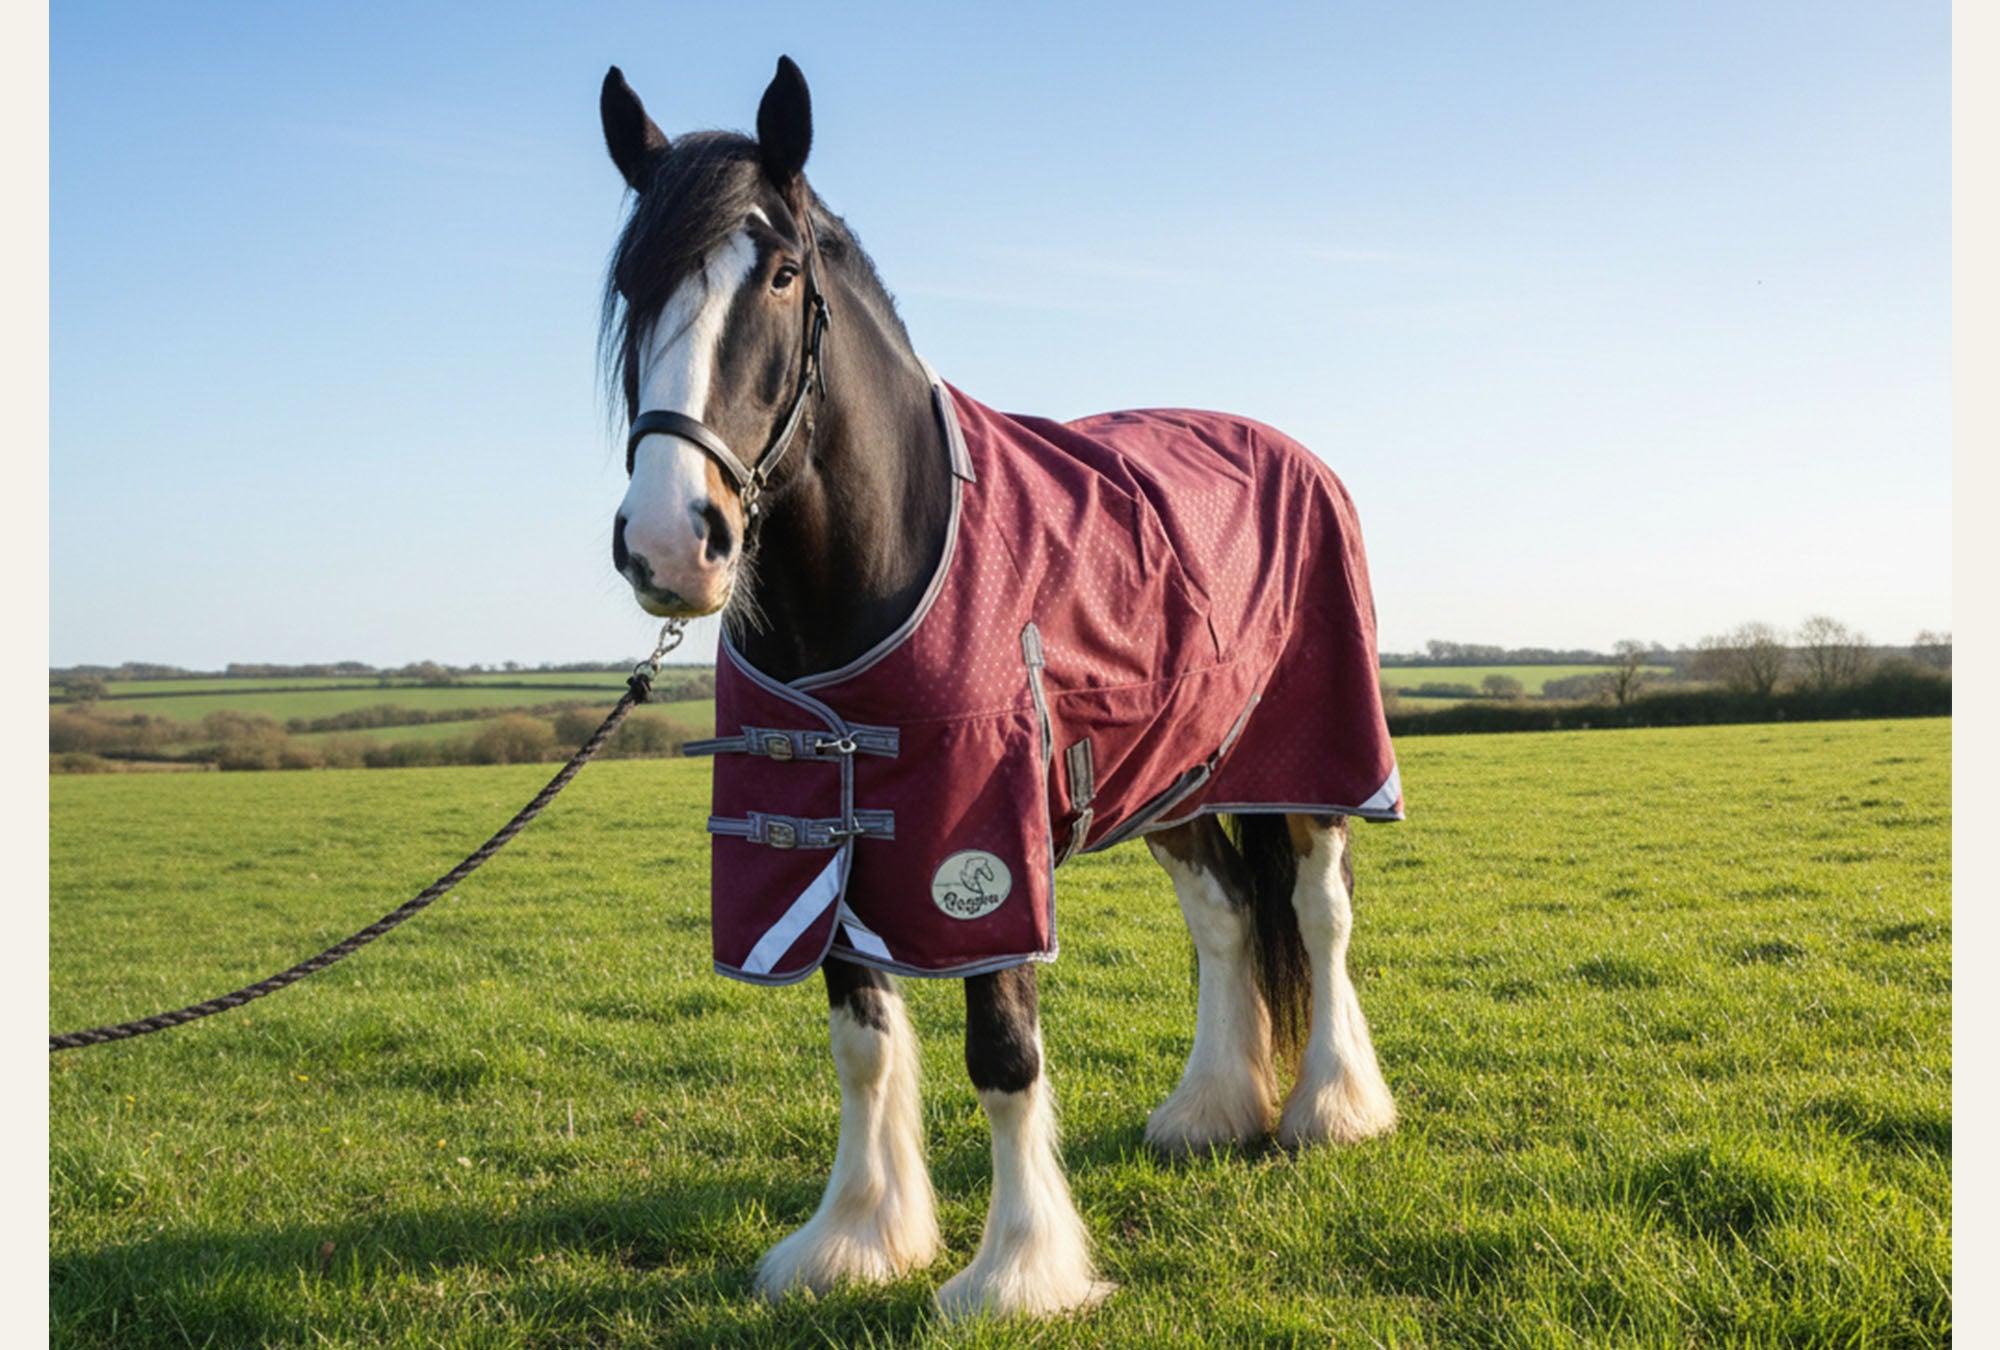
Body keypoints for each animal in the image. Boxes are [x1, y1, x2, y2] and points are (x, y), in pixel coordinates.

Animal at [599, 57, 1402, 1319]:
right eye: (633, 288)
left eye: (778, 275)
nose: (671, 542)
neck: (880, 563)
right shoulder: (822, 833)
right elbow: (862, 1043)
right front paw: (855, 1238)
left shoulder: (981, 850)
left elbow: (1002, 1052)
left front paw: (1016, 1270)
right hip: (1169, 778)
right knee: (1225, 915)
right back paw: (1209, 1109)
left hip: (1316, 760)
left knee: (1316, 911)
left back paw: (1330, 1106)